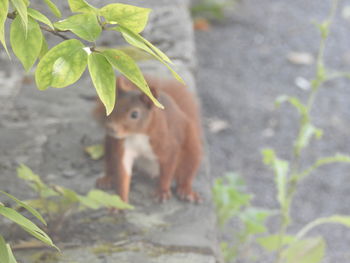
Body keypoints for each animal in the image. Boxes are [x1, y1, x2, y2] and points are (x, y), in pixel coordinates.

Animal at [93, 75, 202, 204]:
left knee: (187, 172)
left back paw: (186, 191)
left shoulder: (167, 145)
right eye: (113, 108)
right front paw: (120, 202)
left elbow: (167, 172)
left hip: (191, 149)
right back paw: (106, 179)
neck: (137, 134)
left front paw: (162, 191)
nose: (110, 128)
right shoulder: (123, 147)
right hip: (110, 144)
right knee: (110, 164)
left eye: (134, 114)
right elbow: (123, 173)